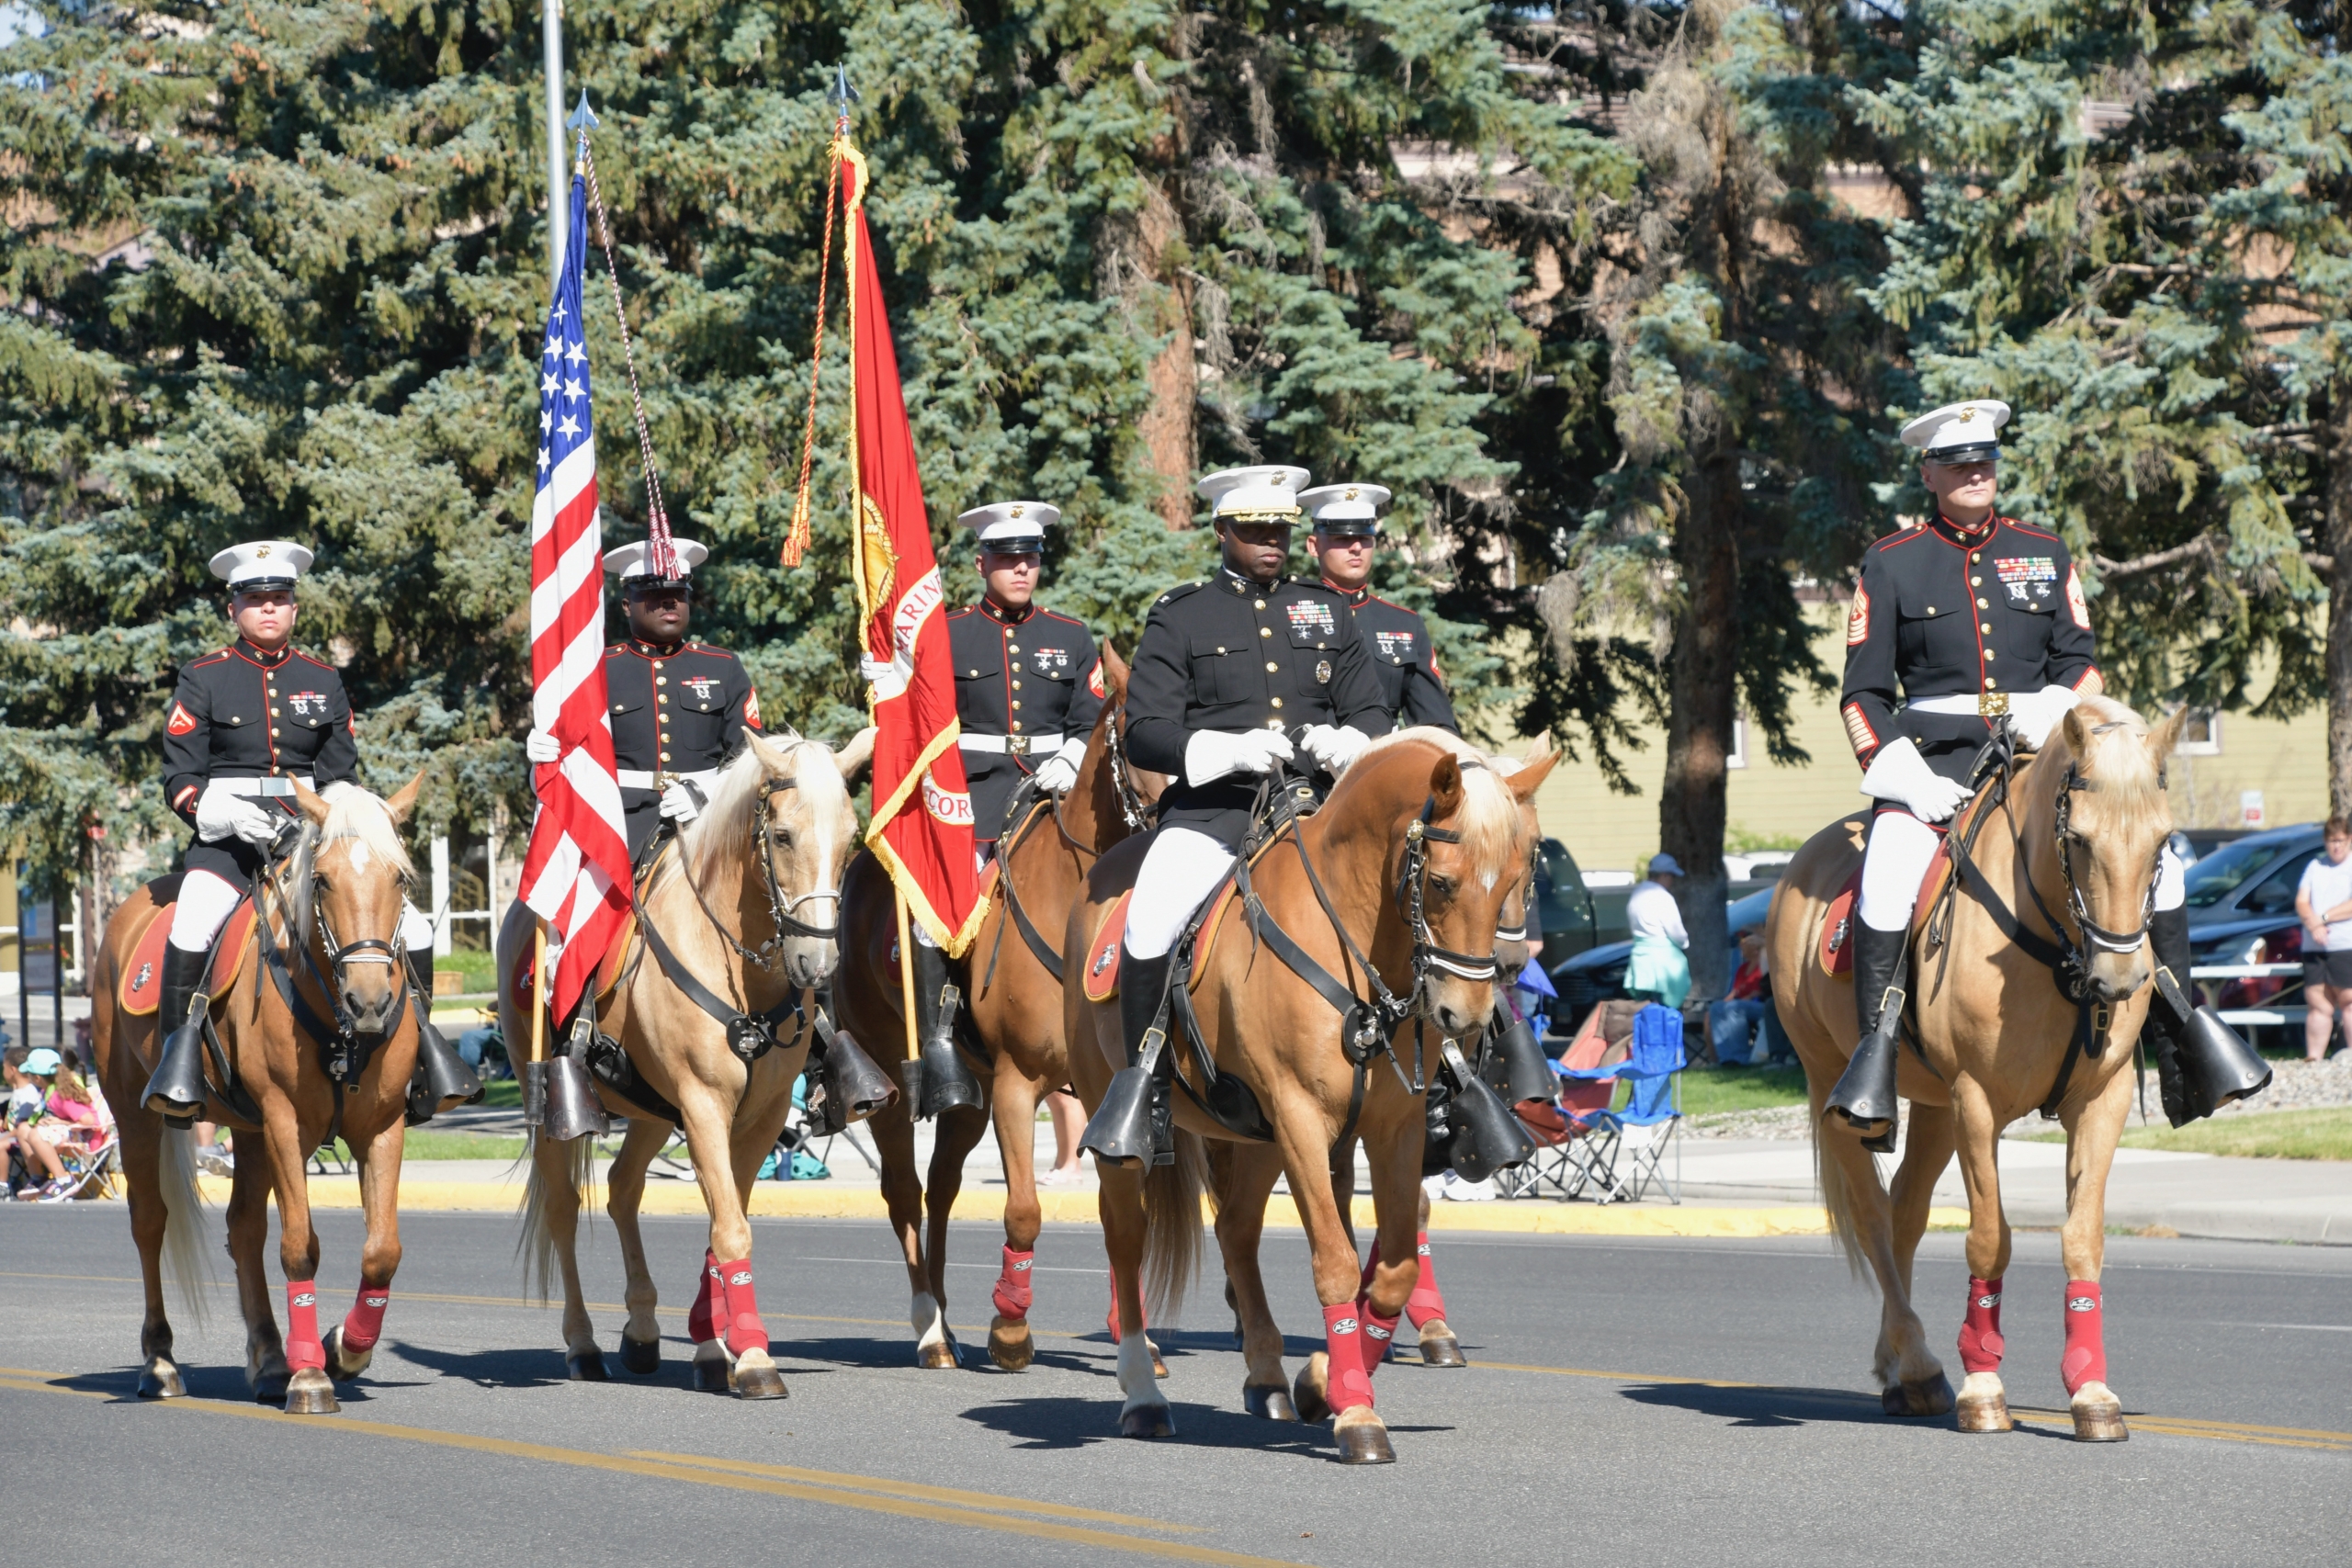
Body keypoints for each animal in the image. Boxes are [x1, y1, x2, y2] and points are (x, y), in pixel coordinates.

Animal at [91, 780, 433, 1419]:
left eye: (399, 878)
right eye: (322, 880)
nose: (370, 1001)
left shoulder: (381, 1124)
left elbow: (384, 1250)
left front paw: (344, 1349)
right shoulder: (283, 1121)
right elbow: (299, 1244)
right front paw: (313, 1377)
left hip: (246, 1131)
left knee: (244, 1229)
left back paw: (272, 1360)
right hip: (134, 1114)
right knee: (150, 1222)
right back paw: (160, 1362)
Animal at [501, 728, 870, 1401]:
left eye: (852, 835)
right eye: (782, 836)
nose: (819, 964)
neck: (739, 964)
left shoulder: (759, 1117)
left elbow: (725, 1218)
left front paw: (711, 1342)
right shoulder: (702, 1105)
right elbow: (730, 1226)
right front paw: (753, 1356)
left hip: (649, 1110)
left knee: (623, 1188)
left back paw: (644, 1331)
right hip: (546, 1100)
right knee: (564, 1208)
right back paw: (583, 1345)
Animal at [837, 644, 1166, 1363]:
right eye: (1138, 735)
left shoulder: (1106, 1094)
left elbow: (1123, 1215)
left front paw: (1137, 1334)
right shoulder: (1019, 1083)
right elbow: (1023, 1209)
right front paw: (1011, 1327)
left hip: (970, 1093)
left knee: (941, 1186)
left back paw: (944, 1319)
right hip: (893, 1077)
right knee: (903, 1189)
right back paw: (930, 1326)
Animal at [1068, 728, 1543, 1466]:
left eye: (1520, 874)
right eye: (1440, 882)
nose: (1465, 1014)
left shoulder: (1392, 1127)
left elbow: (1394, 1266)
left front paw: (1326, 1383)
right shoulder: (1300, 1116)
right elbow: (1336, 1263)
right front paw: (1357, 1416)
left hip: (1258, 1137)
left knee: (1236, 1229)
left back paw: (1266, 1376)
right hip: (1125, 1120)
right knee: (1126, 1239)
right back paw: (1142, 1393)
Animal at [1769, 705, 2191, 1438]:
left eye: (2164, 840)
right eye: (2078, 839)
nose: (2120, 979)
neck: (2054, 944)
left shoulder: (2100, 1099)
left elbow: (2083, 1237)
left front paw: (2091, 1388)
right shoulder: (1976, 1100)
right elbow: (1990, 1239)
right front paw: (1984, 1384)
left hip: (1934, 1107)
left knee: (1905, 1215)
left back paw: (1899, 1366)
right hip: (1834, 1084)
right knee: (1876, 1219)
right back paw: (1918, 1363)